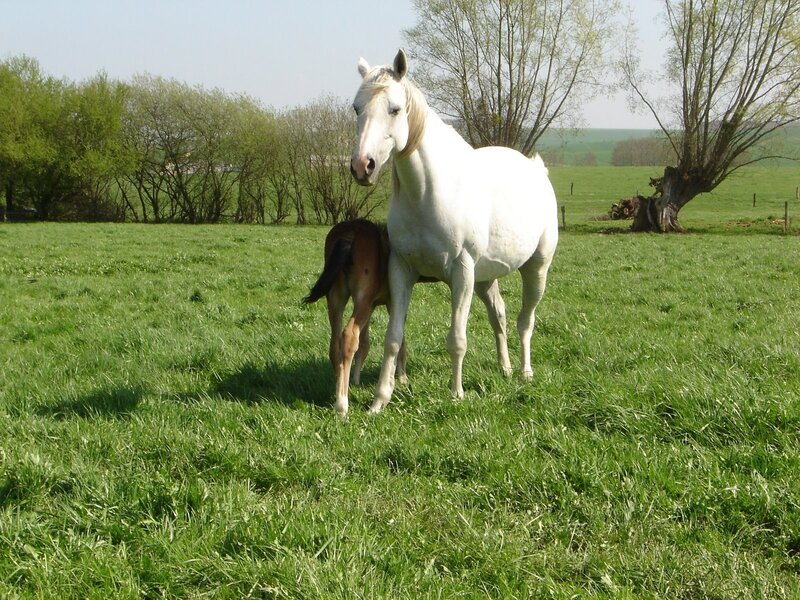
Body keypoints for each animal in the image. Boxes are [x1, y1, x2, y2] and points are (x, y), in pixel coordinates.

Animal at [303, 219, 408, 415]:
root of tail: (350, 233)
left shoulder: (372, 304)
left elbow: (365, 343)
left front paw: (356, 381)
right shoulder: (390, 302)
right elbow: (400, 338)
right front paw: (403, 378)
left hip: (336, 297)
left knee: (335, 344)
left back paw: (339, 389)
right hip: (361, 299)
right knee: (350, 335)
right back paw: (342, 404)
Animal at [350, 49, 559, 414]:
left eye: (395, 108)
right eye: (356, 108)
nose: (363, 166)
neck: (429, 193)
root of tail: (536, 169)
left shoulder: (461, 272)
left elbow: (457, 339)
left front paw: (456, 393)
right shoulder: (401, 271)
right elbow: (393, 339)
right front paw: (380, 400)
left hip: (536, 269)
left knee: (525, 320)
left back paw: (525, 372)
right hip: (485, 277)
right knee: (499, 316)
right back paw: (505, 368)